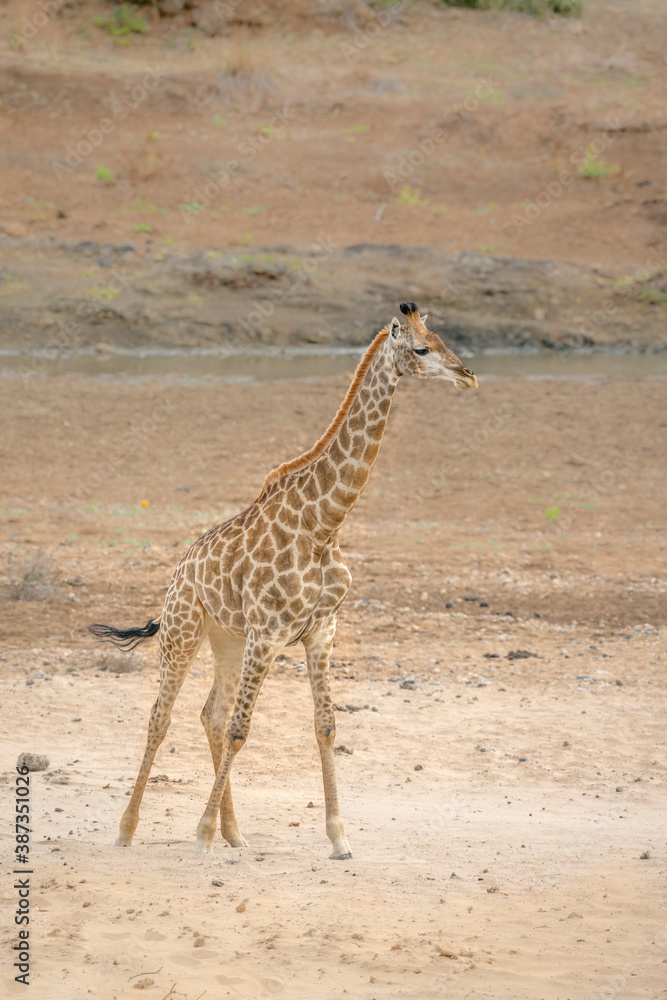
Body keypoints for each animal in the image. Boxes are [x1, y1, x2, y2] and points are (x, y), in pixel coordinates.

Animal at [89, 302, 478, 859]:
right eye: (422, 348)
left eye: (443, 338)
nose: (468, 376)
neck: (324, 524)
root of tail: (180, 569)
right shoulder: (270, 634)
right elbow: (241, 731)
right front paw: (200, 834)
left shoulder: (321, 632)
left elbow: (326, 726)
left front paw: (338, 838)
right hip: (185, 630)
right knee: (162, 718)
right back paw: (128, 829)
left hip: (227, 639)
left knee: (209, 714)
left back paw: (234, 832)